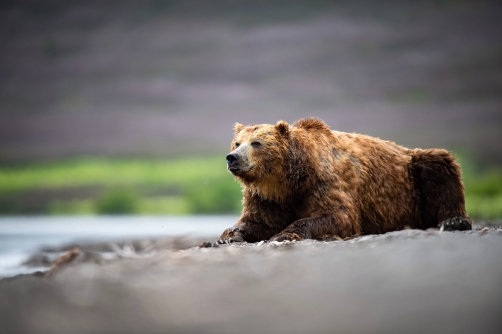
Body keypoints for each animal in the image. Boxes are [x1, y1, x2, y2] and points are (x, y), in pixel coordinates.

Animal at [218, 118, 472, 244]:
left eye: (257, 143)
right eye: (237, 143)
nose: (232, 157)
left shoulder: (325, 181)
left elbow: (337, 214)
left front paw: (283, 234)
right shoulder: (268, 196)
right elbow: (257, 221)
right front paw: (228, 237)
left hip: (415, 172)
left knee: (439, 165)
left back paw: (454, 221)